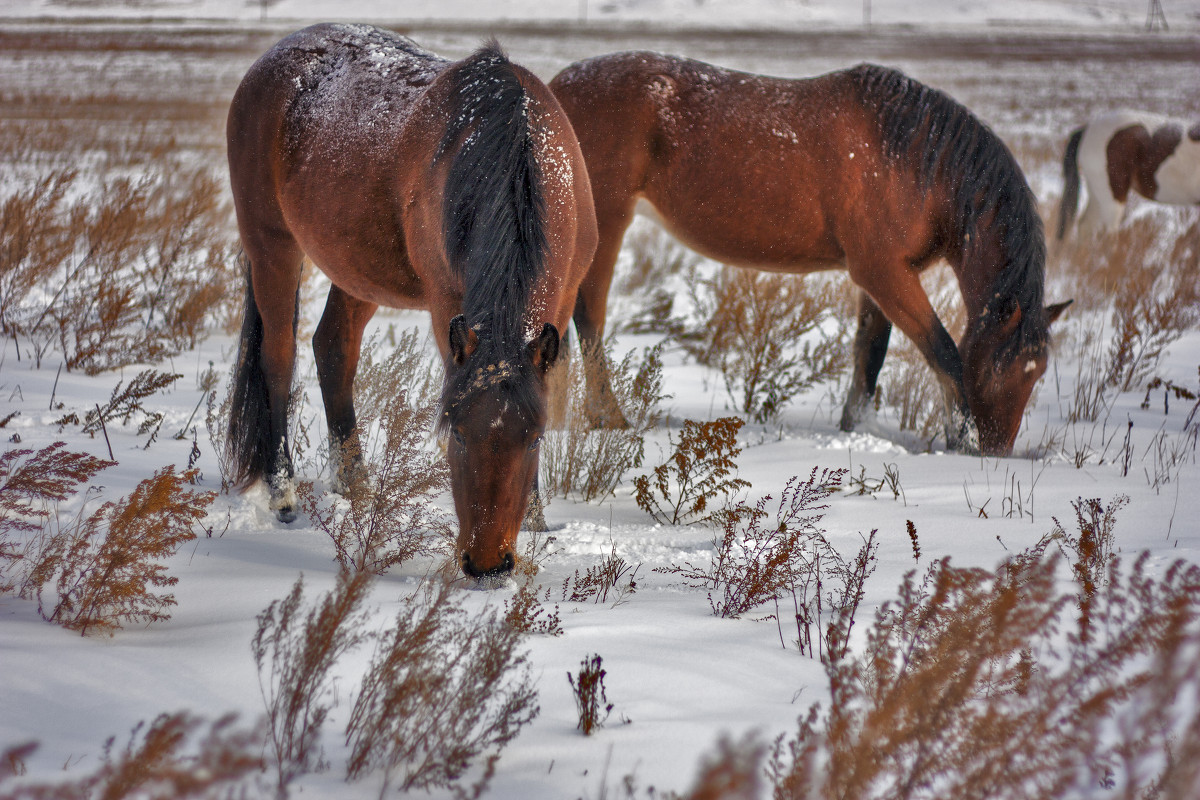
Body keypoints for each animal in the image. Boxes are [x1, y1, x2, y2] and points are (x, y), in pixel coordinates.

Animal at [224, 21, 595, 578]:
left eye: (533, 438)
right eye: (456, 433)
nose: (487, 563)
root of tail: (268, 63)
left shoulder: (565, 297)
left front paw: (535, 519)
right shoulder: (446, 303)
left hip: (355, 272)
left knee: (333, 350)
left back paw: (355, 487)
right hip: (272, 246)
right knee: (278, 359)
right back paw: (283, 494)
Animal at [549, 53, 1075, 455]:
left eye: (1038, 374)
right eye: (997, 369)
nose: (996, 452)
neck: (912, 161)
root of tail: (556, 89)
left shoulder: (883, 281)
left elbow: (869, 357)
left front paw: (855, 430)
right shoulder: (884, 273)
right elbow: (944, 353)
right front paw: (958, 439)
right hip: (608, 225)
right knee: (590, 317)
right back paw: (609, 419)